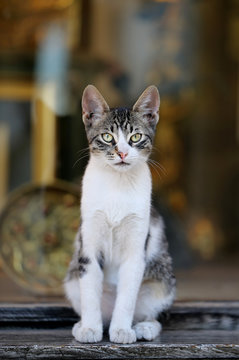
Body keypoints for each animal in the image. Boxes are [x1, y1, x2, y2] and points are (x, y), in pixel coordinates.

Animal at [64, 84, 176, 344]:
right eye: (107, 137)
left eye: (136, 137)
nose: (123, 153)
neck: (117, 183)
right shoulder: (88, 242)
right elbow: (89, 290)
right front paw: (90, 328)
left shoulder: (137, 247)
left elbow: (127, 296)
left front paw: (122, 330)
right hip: (72, 278)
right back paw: (82, 324)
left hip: (162, 280)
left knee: (153, 310)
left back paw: (144, 326)